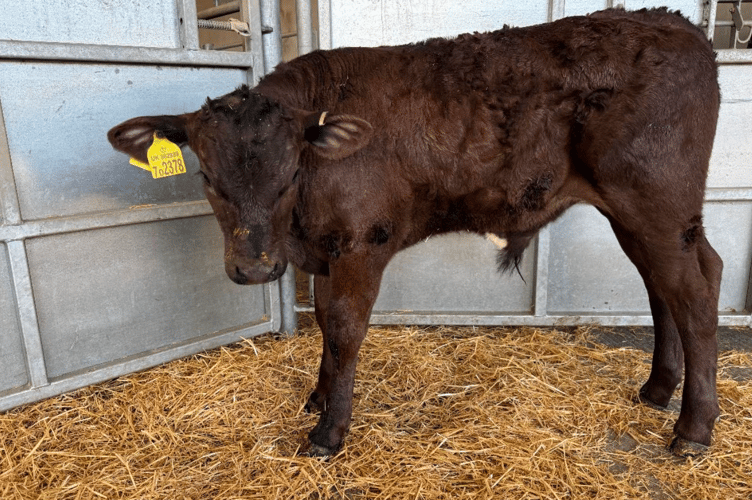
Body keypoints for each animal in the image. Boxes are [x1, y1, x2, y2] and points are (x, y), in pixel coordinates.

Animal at [108, 8, 722, 458]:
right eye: (207, 178)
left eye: (288, 178)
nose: (255, 267)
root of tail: (677, 22)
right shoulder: (327, 252)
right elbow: (326, 322)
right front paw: (319, 397)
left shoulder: (362, 243)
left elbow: (344, 327)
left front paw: (329, 432)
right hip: (642, 216)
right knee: (667, 284)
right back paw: (657, 390)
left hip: (656, 201)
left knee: (694, 291)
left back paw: (693, 429)